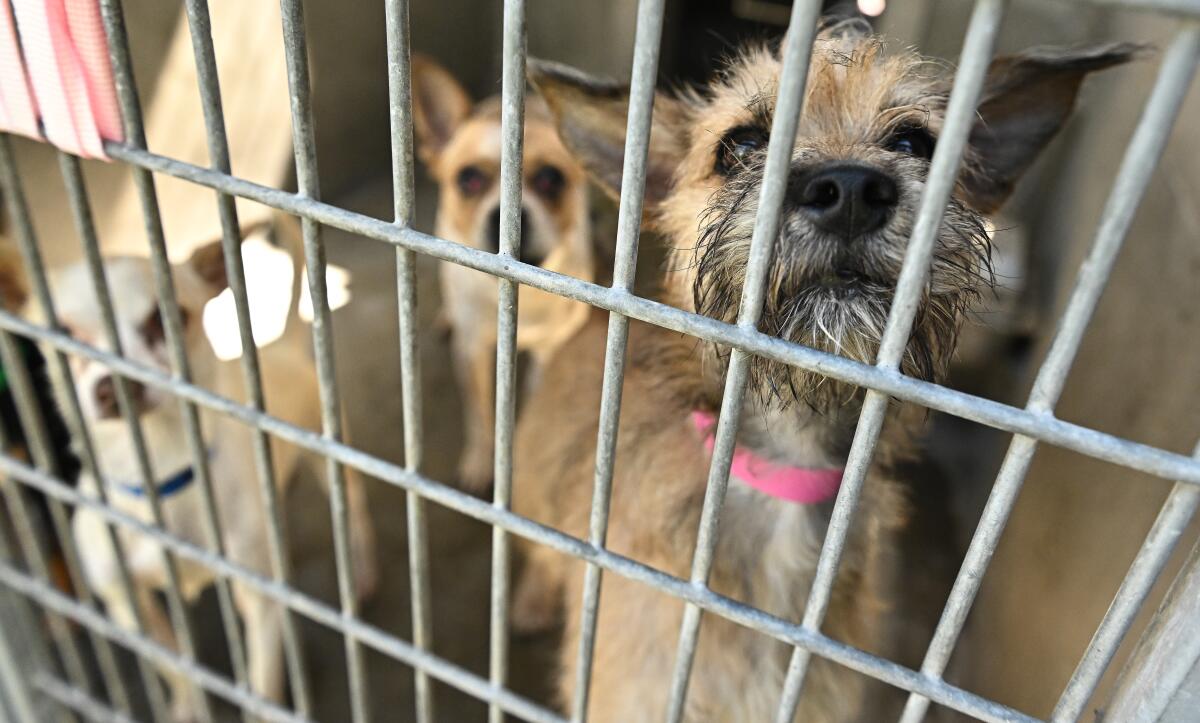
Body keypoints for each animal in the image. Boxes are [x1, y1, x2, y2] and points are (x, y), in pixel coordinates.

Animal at [412, 53, 595, 487]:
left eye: (551, 178)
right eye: (468, 179)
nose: (504, 217)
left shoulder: (549, 349)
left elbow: (534, 397)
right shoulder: (473, 354)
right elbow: (479, 413)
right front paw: (482, 460)